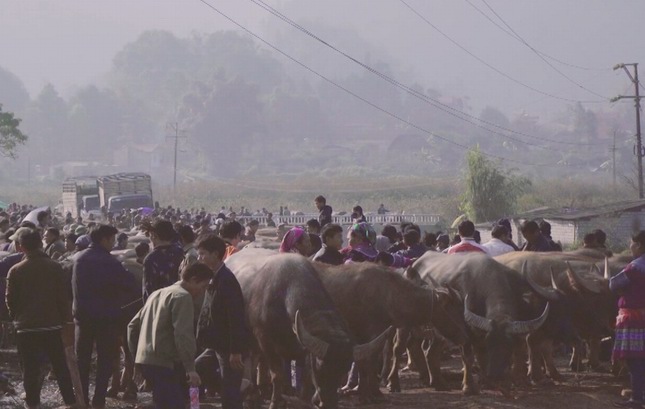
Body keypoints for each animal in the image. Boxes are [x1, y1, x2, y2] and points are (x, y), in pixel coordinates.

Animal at [226, 250, 388, 408]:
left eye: (345, 368)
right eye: (321, 366)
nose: (328, 403)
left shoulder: (304, 348)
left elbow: (306, 375)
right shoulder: (265, 340)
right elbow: (277, 374)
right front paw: (275, 402)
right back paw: (251, 396)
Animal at [310, 262, 466, 398]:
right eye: (454, 310)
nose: (465, 335)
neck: (389, 295)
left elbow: (367, 359)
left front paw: (370, 391)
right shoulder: (372, 332)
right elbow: (371, 358)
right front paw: (374, 391)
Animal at [406, 250, 544, 394]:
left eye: (509, 346)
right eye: (490, 343)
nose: (496, 374)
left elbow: (482, 355)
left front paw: (487, 381)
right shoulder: (466, 331)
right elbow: (469, 357)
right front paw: (469, 386)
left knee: (425, 349)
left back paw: (435, 381)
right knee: (416, 346)